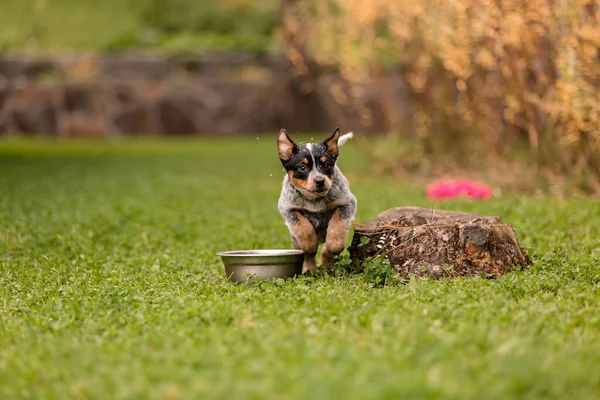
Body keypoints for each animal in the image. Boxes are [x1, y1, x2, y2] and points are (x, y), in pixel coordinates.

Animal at [276, 127, 356, 272]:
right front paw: (310, 245)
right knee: (308, 255)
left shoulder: (347, 203)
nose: (320, 181)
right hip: (295, 240)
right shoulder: (288, 208)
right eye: (302, 167)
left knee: (326, 252)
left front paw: (334, 245)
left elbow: (337, 225)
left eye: (327, 165)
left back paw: (327, 266)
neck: (315, 201)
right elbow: (304, 227)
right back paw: (309, 268)